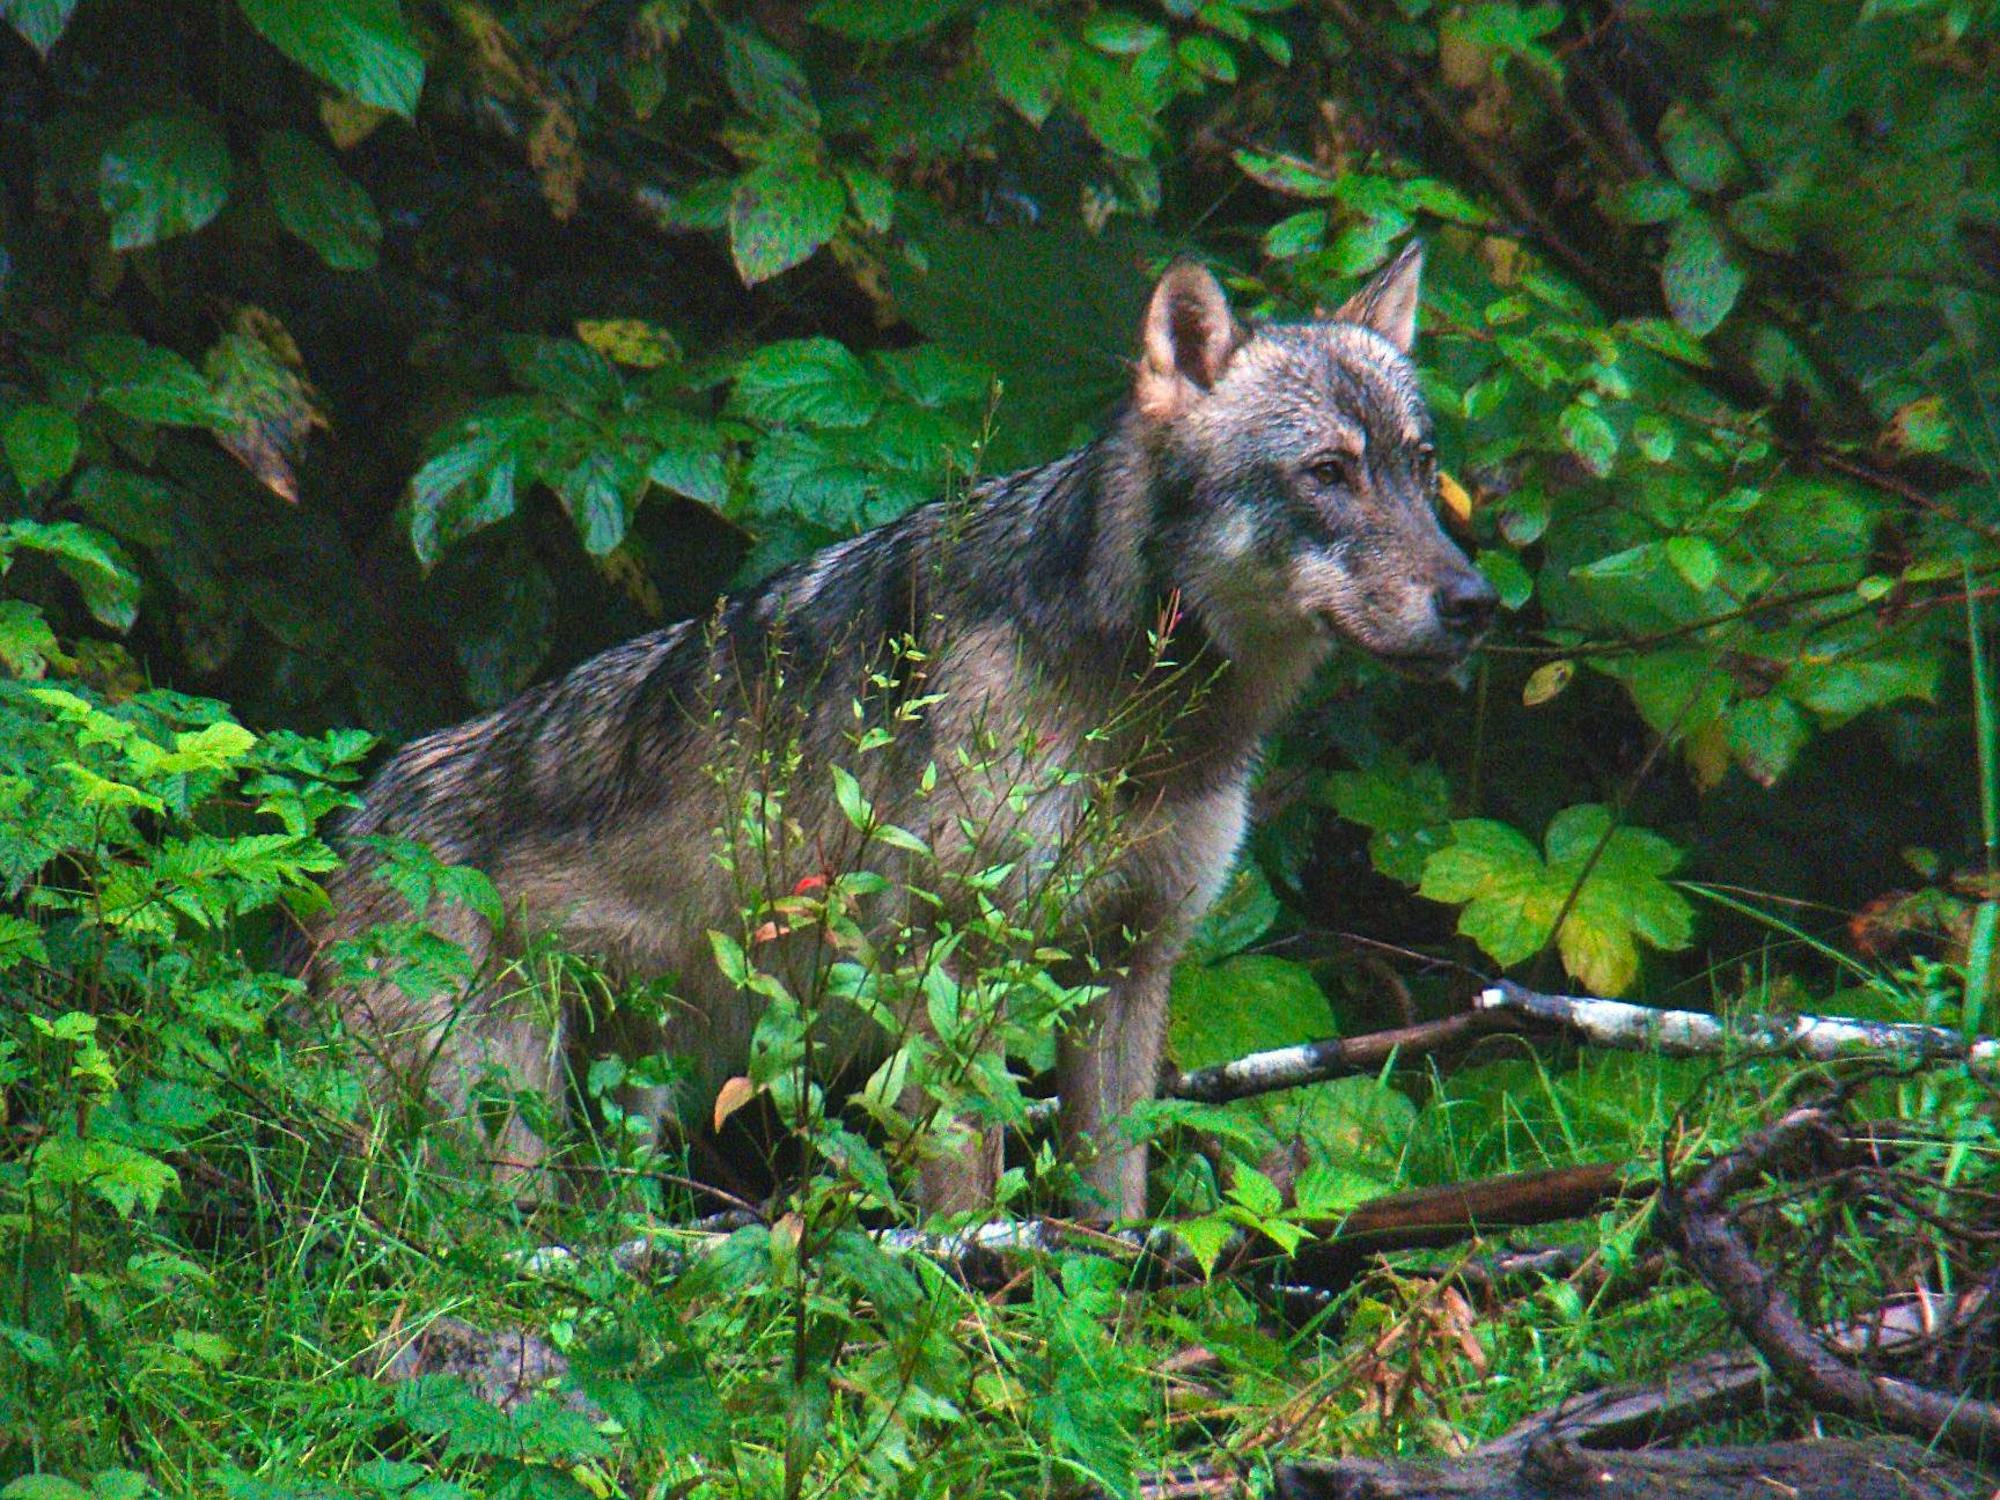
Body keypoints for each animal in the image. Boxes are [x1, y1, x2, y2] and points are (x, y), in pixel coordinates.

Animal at [320, 247, 1496, 1224]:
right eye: (1328, 473)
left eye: (1419, 464)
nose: (1476, 604)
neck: (1146, 724)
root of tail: (360, 814)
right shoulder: (951, 973)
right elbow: (965, 1199)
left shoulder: (1127, 968)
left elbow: (1111, 1205)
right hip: (480, 1140)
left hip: (624, 1109)